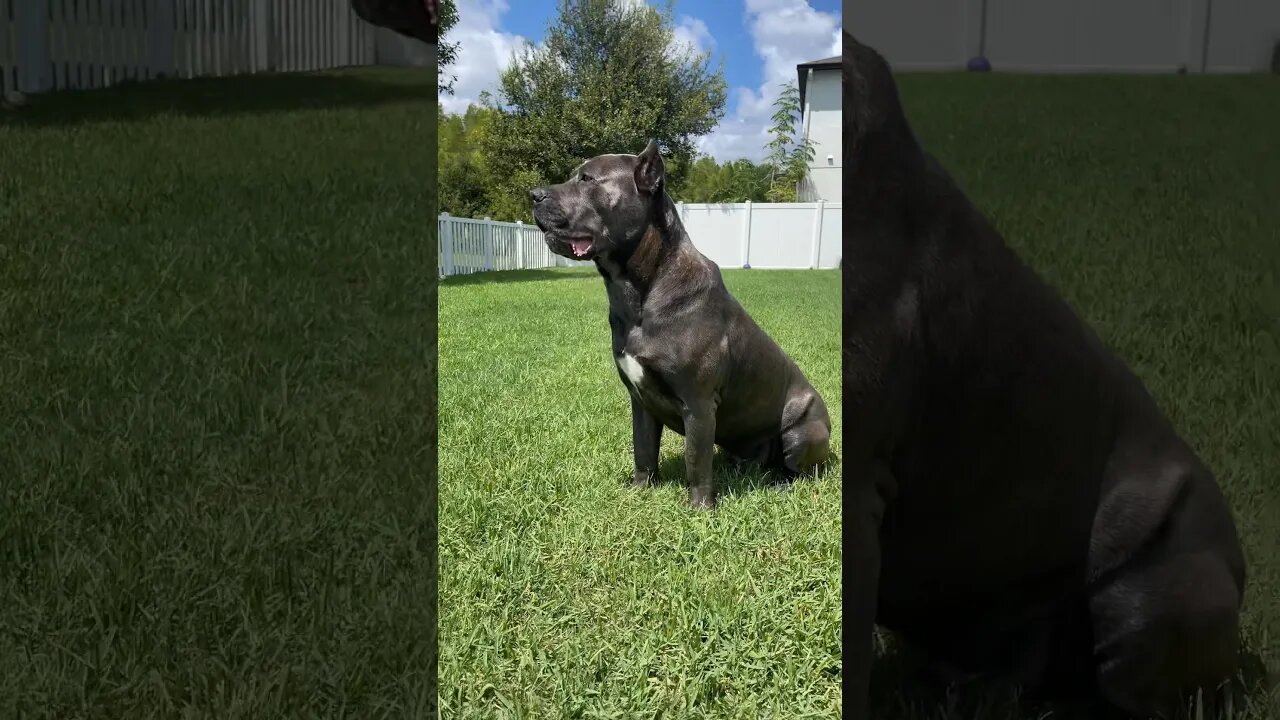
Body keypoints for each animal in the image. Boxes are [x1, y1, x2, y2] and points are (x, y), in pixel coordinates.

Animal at [527, 141, 829, 509]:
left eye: (587, 179)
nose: (533, 194)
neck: (638, 292)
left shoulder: (698, 403)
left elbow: (695, 460)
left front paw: (699, 508)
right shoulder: (640, 400)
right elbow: (643, 448)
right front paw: (640, 489)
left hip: (802, 430)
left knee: (800, 470)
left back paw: (779, 483)